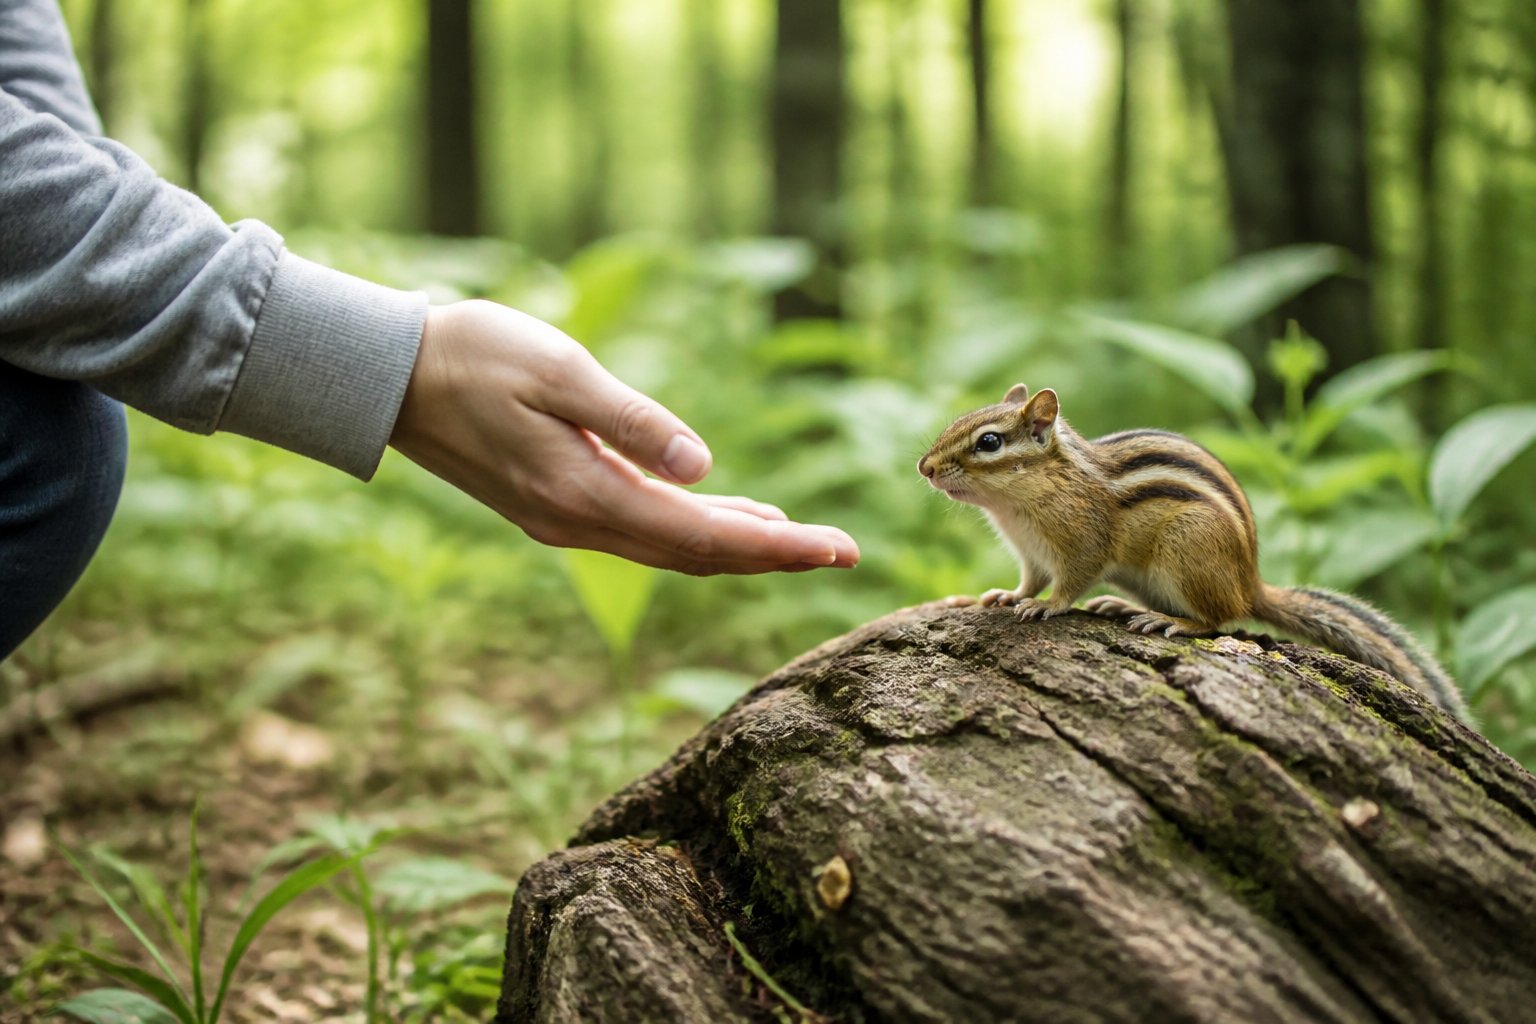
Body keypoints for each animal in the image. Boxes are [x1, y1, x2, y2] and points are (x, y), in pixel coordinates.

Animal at [917, 383, 1470, 721]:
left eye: (989, 442)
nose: (925, 467)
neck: (1017, 504)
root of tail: (1251, 581)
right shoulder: (1029, 553)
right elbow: (1029, 579)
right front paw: (1009, 597)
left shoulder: (1082, 543)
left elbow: (1071, 581)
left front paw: (1046, 606)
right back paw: (1120, 606)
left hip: (1188, 553)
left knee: (1219, 619)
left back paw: (1174, 622)